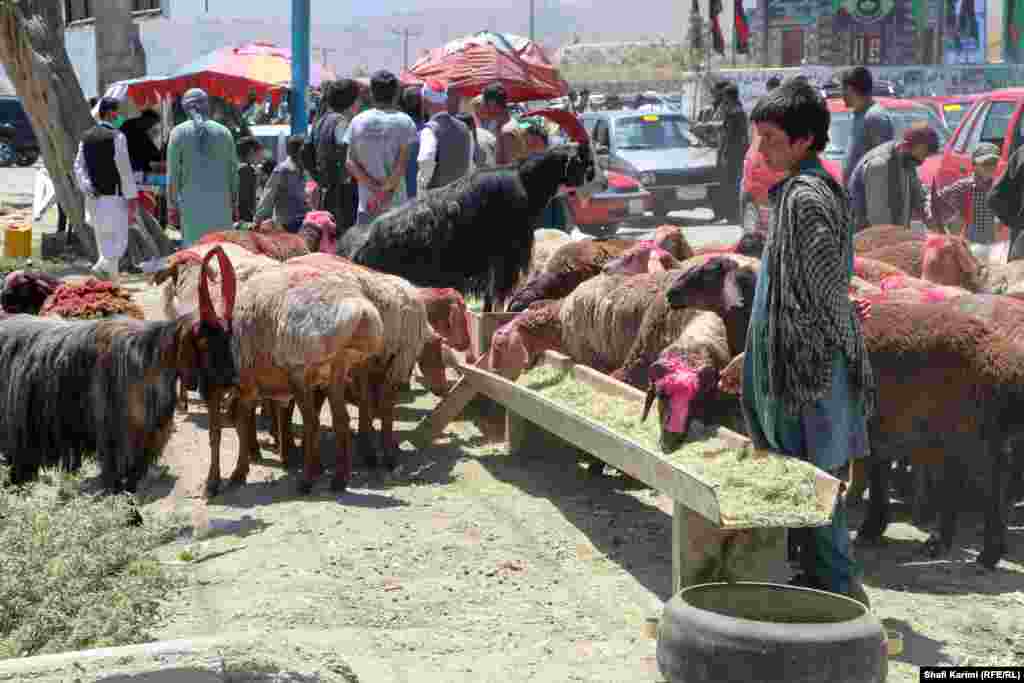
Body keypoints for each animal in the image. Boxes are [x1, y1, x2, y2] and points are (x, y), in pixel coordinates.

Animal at [0, 245, 237, 497]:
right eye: (203, 340)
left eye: (228, 337)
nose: (230, 381)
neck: (149, 356)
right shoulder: (115, 438)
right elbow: (114, 477)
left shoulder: (145, 439)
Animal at [220, 264, 385, 497]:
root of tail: (362, 311)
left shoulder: (249, 385)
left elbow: (244, 422)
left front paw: (239, 473)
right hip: (338, 370)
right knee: (341, 420)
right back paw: (338, 479)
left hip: (301, 373)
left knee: (312, 423)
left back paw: (306, 481)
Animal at [342, 144, 598, 315]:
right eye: (585, 164)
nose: (597, 182)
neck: (526, 180)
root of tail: (361, 246)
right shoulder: (507, 256)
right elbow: (497, 294)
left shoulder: (494, 262)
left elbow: (489, 297)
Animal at [663, 264, 1024, 569]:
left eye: (708, 272)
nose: (671, 293)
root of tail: (1002, 359)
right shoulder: (876, 426)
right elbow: (874, 470)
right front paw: (871, 526)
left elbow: (871, 471)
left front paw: (864, 526)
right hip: (960, 429)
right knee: (970, 478)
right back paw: (951, 544)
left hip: (967, 428)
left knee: (986, 481)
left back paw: (981, 551)